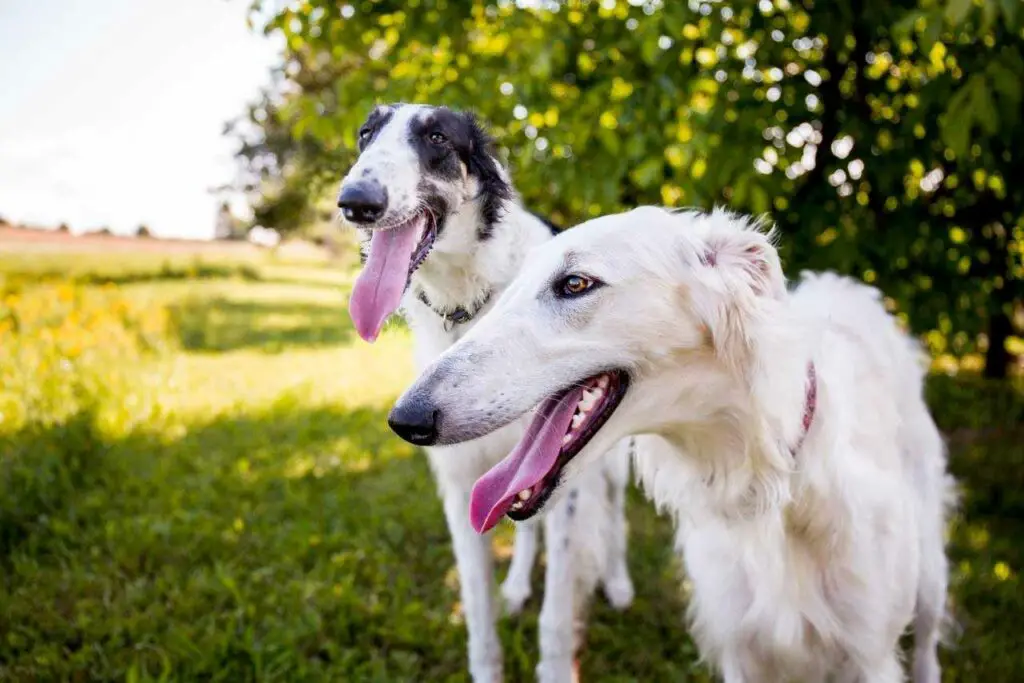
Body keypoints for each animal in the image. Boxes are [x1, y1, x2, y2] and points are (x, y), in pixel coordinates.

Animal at [339, 104, 634, 679]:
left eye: (436, 136)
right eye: (366, 135)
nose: (355, 201)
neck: (468, 303)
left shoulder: (565, 469)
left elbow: (556, 611)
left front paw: (556, 665)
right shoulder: (459, 483)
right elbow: (478, 605)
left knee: (614, 518)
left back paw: (617, 582)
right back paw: (518, 585)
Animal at [387, 206, 954, 683]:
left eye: (575, 283)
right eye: (506, 294)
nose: (405, 419)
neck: (768, 485)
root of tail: (847, 287)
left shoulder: (869, 652)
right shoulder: (739, 644)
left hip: (927, 574)